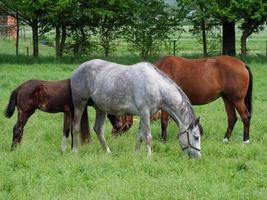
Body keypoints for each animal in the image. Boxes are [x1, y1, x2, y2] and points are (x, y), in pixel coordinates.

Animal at [71, 59, 203, 158]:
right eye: (196, 137)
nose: (198, 157)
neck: (156, 86)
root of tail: (78, 69)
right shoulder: (144, 112)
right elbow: (147, 136)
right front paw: (149, 156)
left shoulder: (144, 114)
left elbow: (140, 135)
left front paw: (136, 154)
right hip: (79, 104)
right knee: (75, 127)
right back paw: (74, 152)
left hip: (100, 108)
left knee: (98, 129)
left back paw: (108, 152)